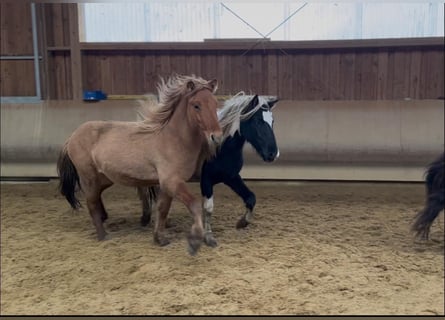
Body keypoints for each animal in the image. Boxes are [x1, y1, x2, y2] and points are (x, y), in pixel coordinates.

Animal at [57, 74, 220, 255]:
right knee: (91, 204)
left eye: (215, 104)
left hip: (104, 178)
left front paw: (160, 238)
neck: (173, 139)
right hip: (89, 178)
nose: (216, 137)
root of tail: (72, 137)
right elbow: (194, 204)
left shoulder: (166, 184)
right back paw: (103, 235)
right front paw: (194, 241)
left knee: (97, 198)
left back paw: (105, 217)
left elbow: (162, 209)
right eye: (196, 105)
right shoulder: (171, 181)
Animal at [137, 93, 280, 248]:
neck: (220, 147)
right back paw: (145, 218)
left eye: (272, 121)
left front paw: (242, 222)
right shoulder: (206, 181)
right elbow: (208, 208)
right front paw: (209, 237)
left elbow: (250, 198)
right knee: (144, 191)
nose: (273, 154)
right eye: (257, 121)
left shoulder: (231, 177)